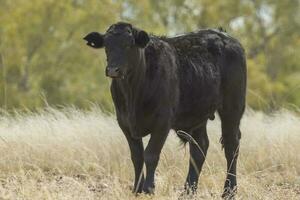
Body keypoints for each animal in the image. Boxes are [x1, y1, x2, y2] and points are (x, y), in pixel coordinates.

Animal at [84, 22, 246, 198]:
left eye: (128, 45)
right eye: (107, 46)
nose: (113, 70)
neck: (133, 93)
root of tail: (225, 36)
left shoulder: (162, 123)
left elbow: (150, 155)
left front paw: (148, 189)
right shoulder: (124, 123)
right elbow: (137, 156)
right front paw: (136, 189)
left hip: (233, 107)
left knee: (231, 146)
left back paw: (229, 191)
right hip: (197, 114)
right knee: (199, 148)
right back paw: (188, 191)